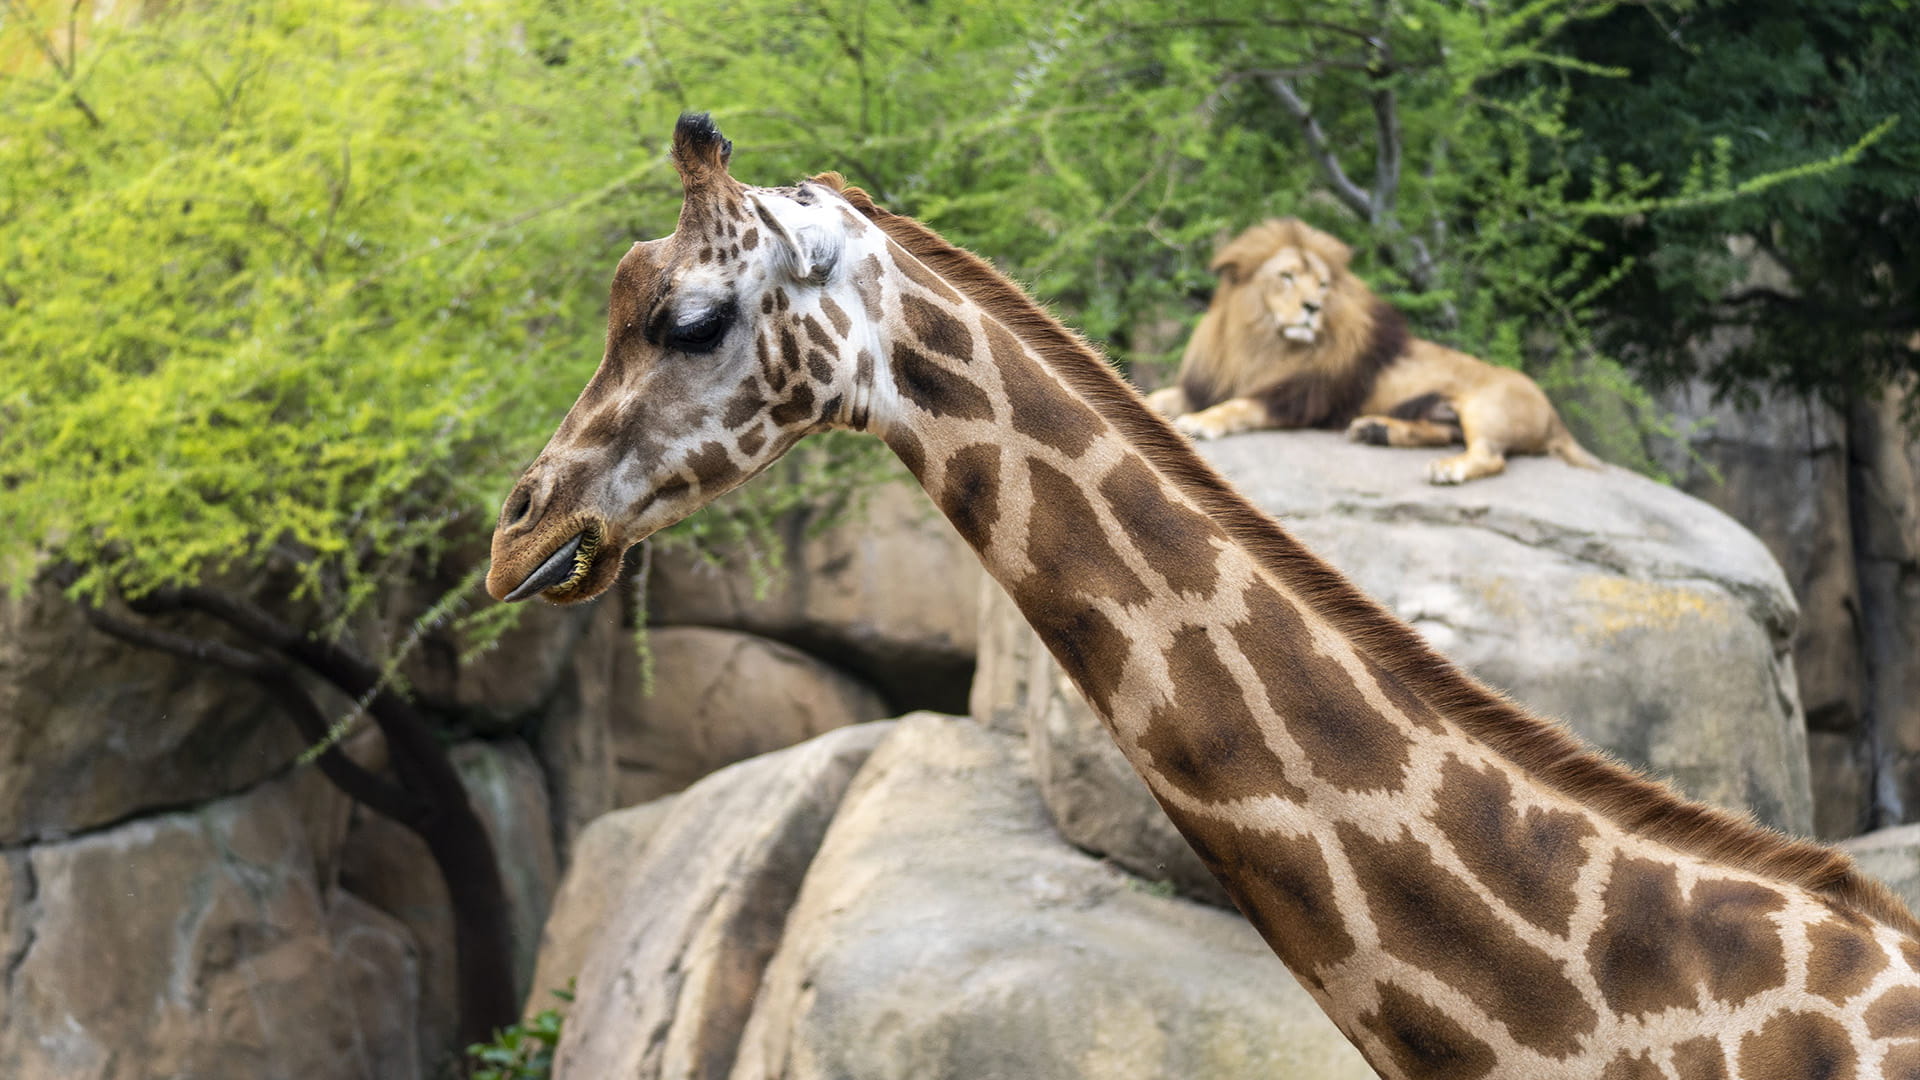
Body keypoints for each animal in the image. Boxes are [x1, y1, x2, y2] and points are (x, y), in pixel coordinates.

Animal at [1146, 218, 1601, 484]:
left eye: (1323, 285)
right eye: (1287, 277)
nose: (1313, 307)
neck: (1262, 343)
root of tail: (1556, 417)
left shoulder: (1298, 398)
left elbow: (1238, 407)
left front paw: (1201, 421)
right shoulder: (1209, 383)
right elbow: (1162, 396)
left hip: (1490, 408)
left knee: (1491, 457)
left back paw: (1447, 468)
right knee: (1445, 433)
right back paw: (1375, 431)